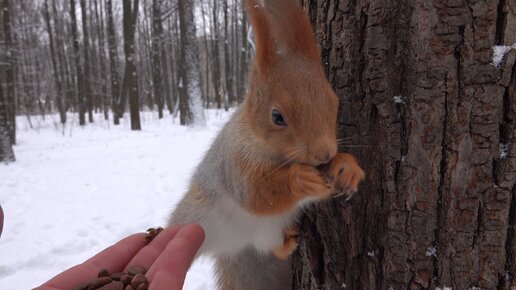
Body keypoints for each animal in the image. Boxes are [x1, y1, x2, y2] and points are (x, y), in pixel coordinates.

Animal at [167, 0, 364, 290]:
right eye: (277, 116)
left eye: (334, 102)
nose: (323, 153)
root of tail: (236, 243)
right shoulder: (235, 160)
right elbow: (253, 193)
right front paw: (300, 179)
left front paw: (345, 167)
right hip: (195, 216)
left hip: (271, 228)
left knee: (270, 246)